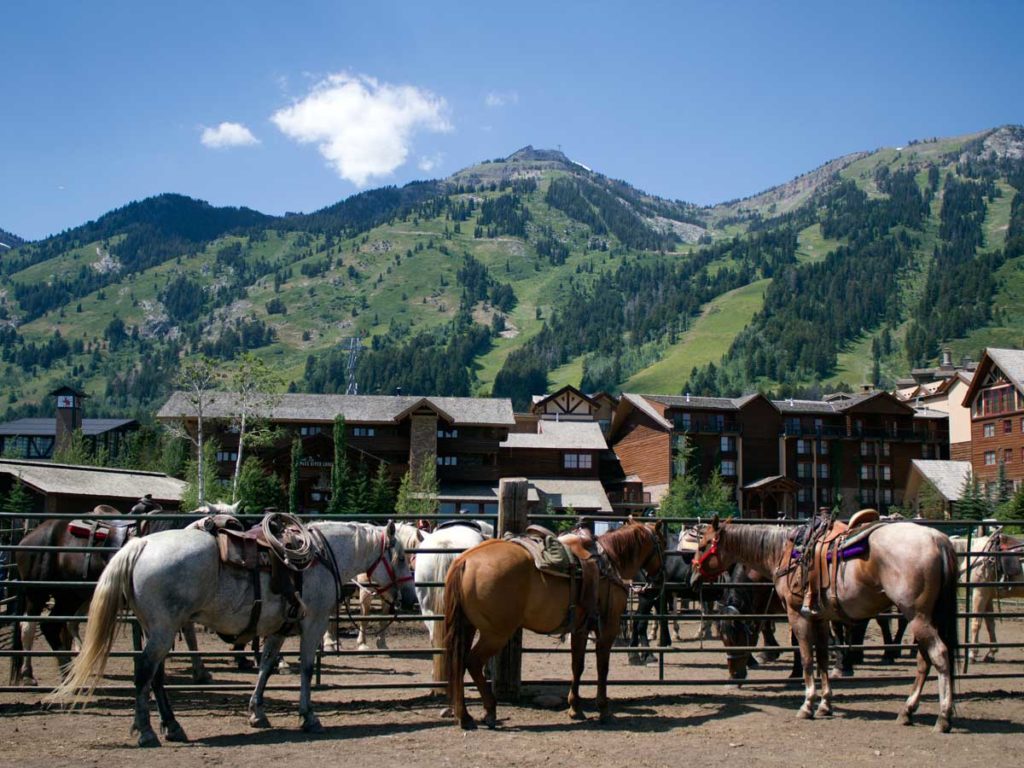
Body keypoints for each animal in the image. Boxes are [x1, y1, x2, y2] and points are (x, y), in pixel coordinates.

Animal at [47, 518, 415, 745]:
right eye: (399, 557)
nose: (410, 600)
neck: (322, 557)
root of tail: (140, 546)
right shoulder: (314, 622)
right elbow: (307, 669)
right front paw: (308, 716)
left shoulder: (279, 628)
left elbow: (266, 666)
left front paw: (257, 713)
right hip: (163, 630)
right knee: (144, 672)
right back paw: (148, 732)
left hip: (157, 629)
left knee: (156, 677)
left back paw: (171, 726)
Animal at [444, 520, 667, 729]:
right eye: (663, 545)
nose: (658, 581)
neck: (611, 562)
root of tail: (465, 559)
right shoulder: (608, 629)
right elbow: (602, 668)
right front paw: (604, 710)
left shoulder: (580, 629)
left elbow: (577, 666)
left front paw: (575, 709)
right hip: (496, 634)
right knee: (473, 662)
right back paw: (488, 711)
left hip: (468, 627)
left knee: (459, 663)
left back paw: (465, 716)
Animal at [696, 518, 958, 733]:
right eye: (723, 638)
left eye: (703, 545)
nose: (694, 575)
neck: (782, 553)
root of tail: (937, 538)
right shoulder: (819, 617)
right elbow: (821, 657)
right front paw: (825, 704)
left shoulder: (796, 614)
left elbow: (805, 656)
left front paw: (806, 703)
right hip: (928, 616)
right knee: (924, 660)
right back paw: (907, 710)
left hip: (916, 615)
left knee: (939, 654)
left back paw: (943, 717)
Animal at [950, 532, 1024, 663]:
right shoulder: (988, 597)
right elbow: (990, 624)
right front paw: (991, 653)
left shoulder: (980, 593)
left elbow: (976, 623)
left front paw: (972, 654)